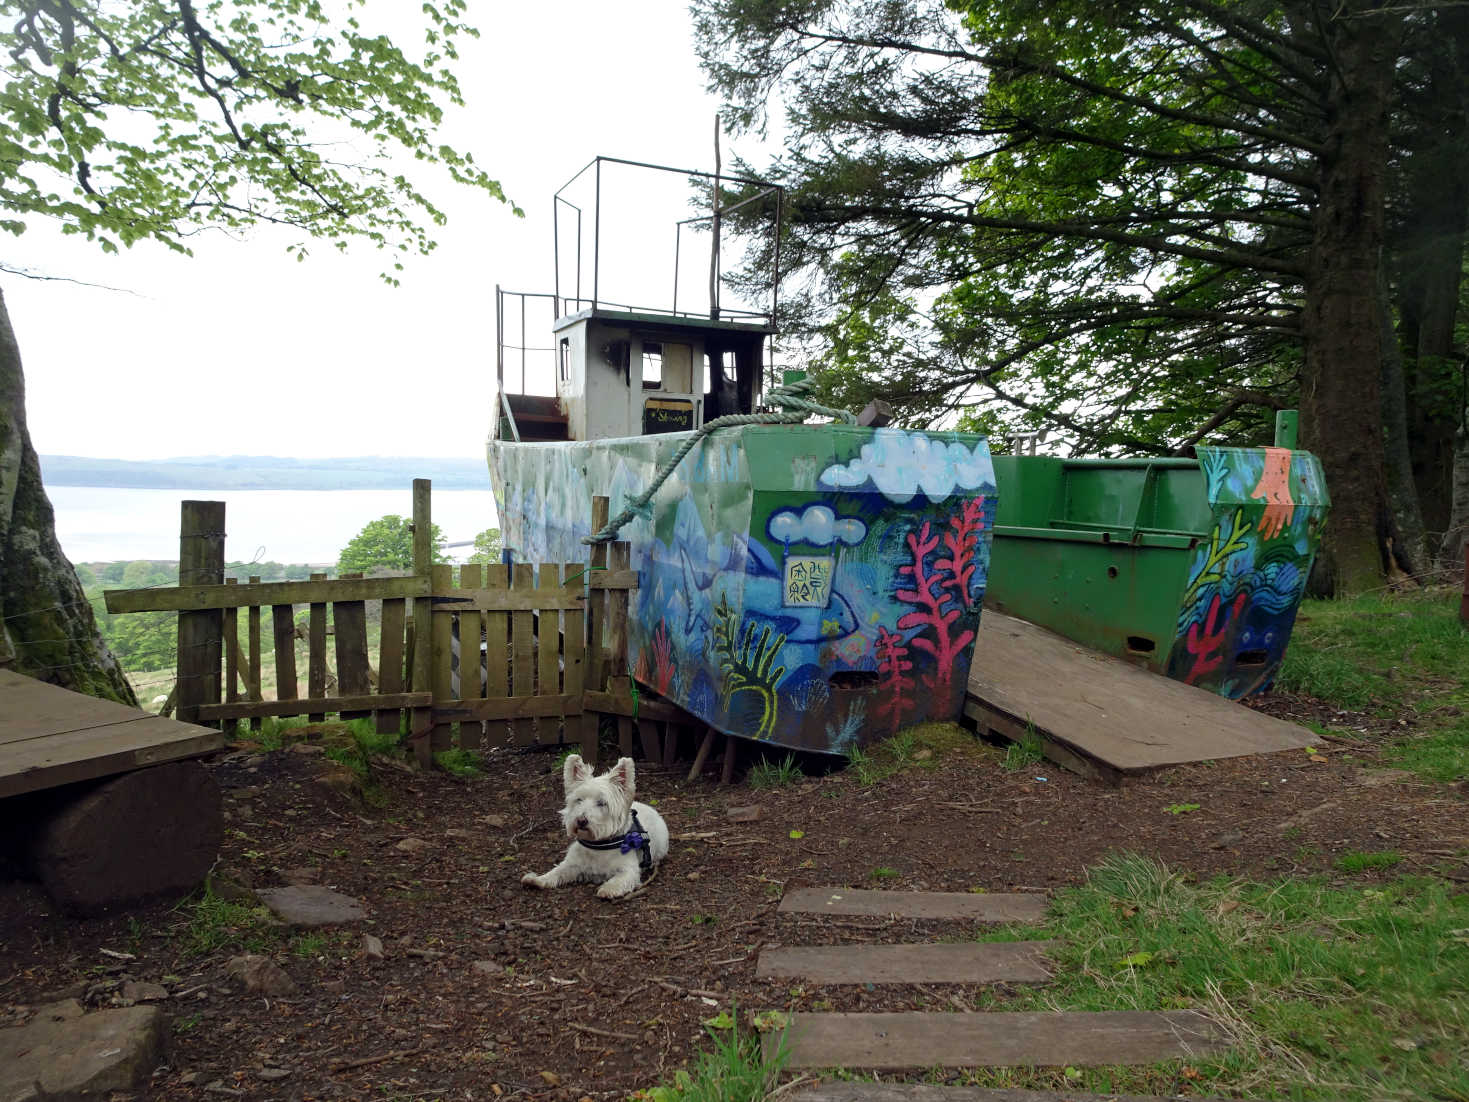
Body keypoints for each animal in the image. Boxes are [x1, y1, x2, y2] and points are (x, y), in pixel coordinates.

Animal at [522, 758, 672, 899]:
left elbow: (621, 878)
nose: (581, 820)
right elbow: (556, 871)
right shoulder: (571, 864)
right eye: (579, 800)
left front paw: (609, 889)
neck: (598, 844)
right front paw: (537, 879)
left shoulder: (629, 869)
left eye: (602, 803)